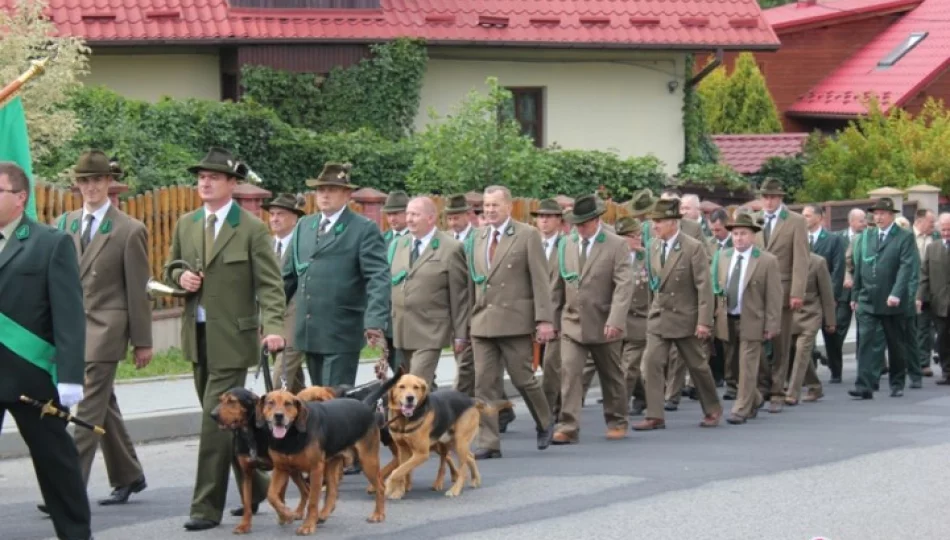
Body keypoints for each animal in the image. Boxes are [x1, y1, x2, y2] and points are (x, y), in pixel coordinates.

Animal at [211, 388, 308, 536]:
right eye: (221, 400)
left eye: (232, 401)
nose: (212, 415)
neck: (249, 432)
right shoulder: (246, 473)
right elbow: (247, 502)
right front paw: (244, 525)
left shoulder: (280, 469)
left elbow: (276, 496)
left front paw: (284, 515)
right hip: (293, 470)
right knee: (306, 490)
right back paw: (299, 512)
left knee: (305, 489)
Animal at [258, 374, 400, 532]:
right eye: (270, 403)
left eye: (288, 404)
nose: (278, 416)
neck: (291, 435)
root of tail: (363, 404)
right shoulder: (282, 468)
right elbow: (271, 496)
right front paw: (287, 514)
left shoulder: (315, 469)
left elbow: (313, 501)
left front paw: (308, 526)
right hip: (331, 464)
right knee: (332, 493)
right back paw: (323, 514)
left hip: (368, 461)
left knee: (380, 487)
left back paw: (378, 514)